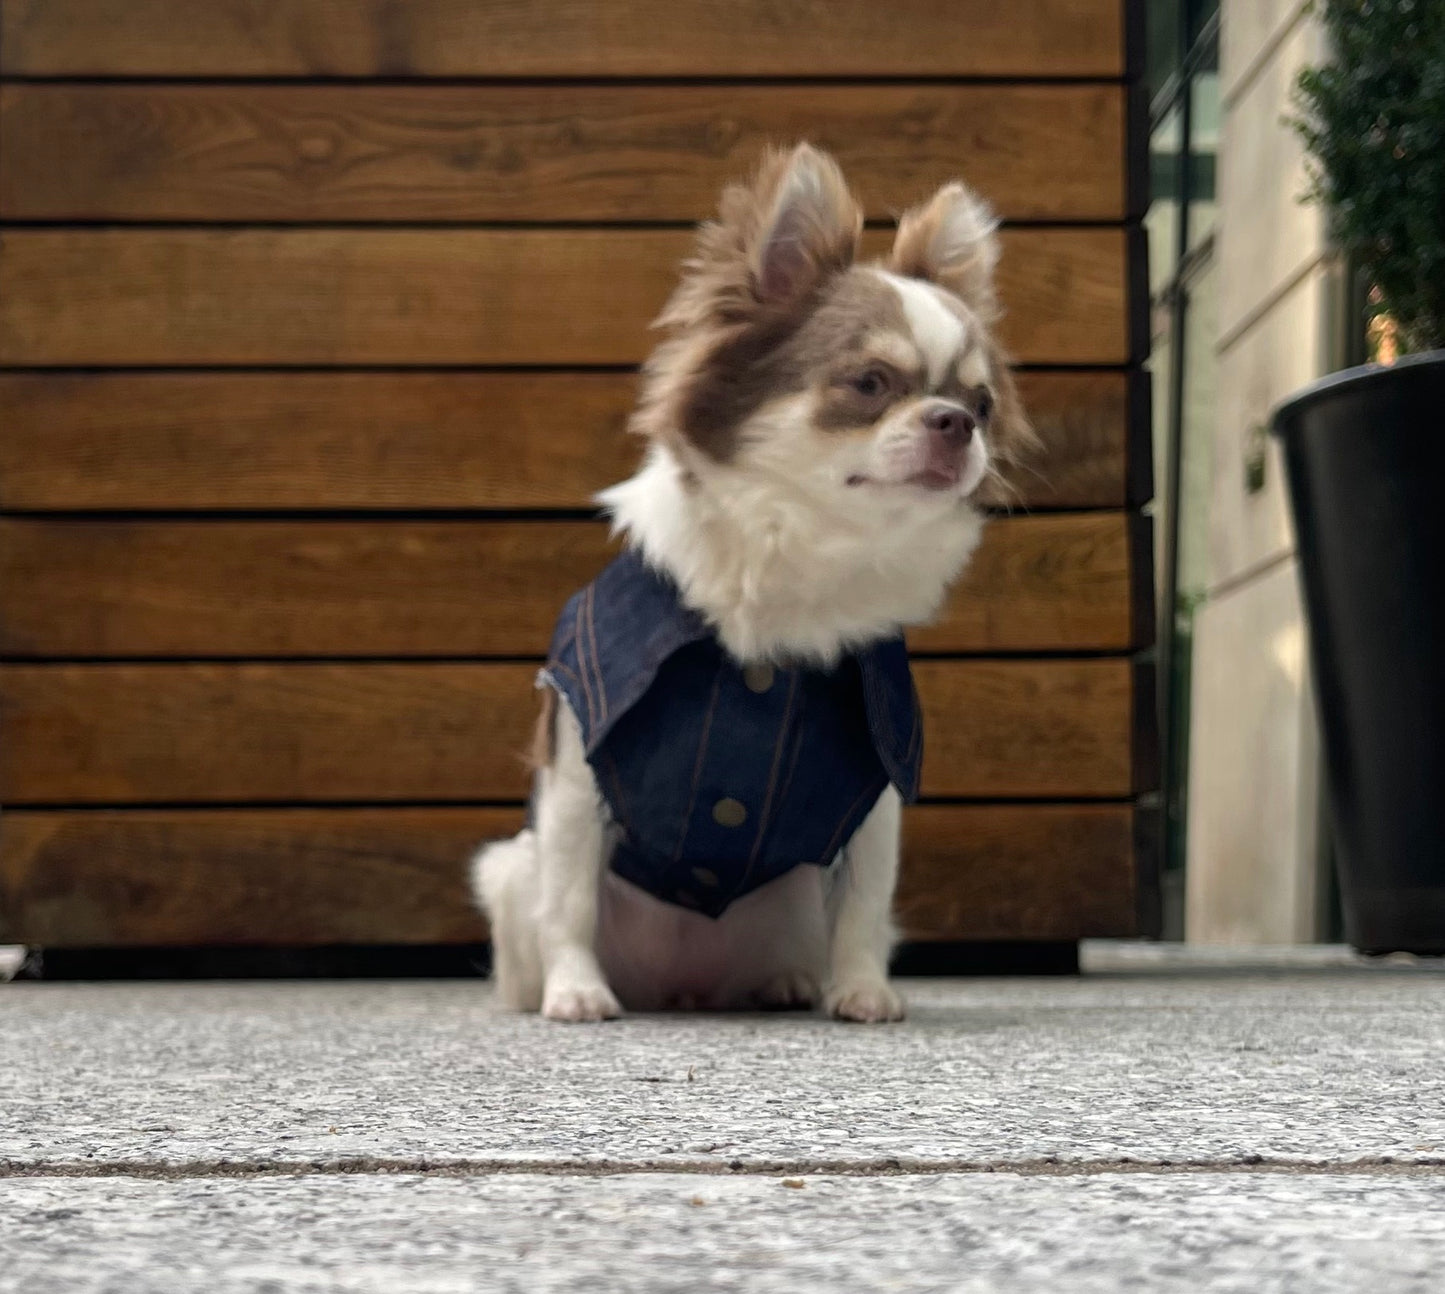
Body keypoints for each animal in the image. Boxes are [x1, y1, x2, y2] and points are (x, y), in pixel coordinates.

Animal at [471, 144, 1028, 1022]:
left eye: (980, 401)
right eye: (869, 384)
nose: (957, 422)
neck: (802, 549)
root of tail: (682, 987)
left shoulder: (876, 787)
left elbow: (865, 901)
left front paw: (861, 991)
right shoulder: (576, 777)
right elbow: (571, 901)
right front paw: (576, 992)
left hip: (790, 899)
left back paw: (788, 983)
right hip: (506, 869)